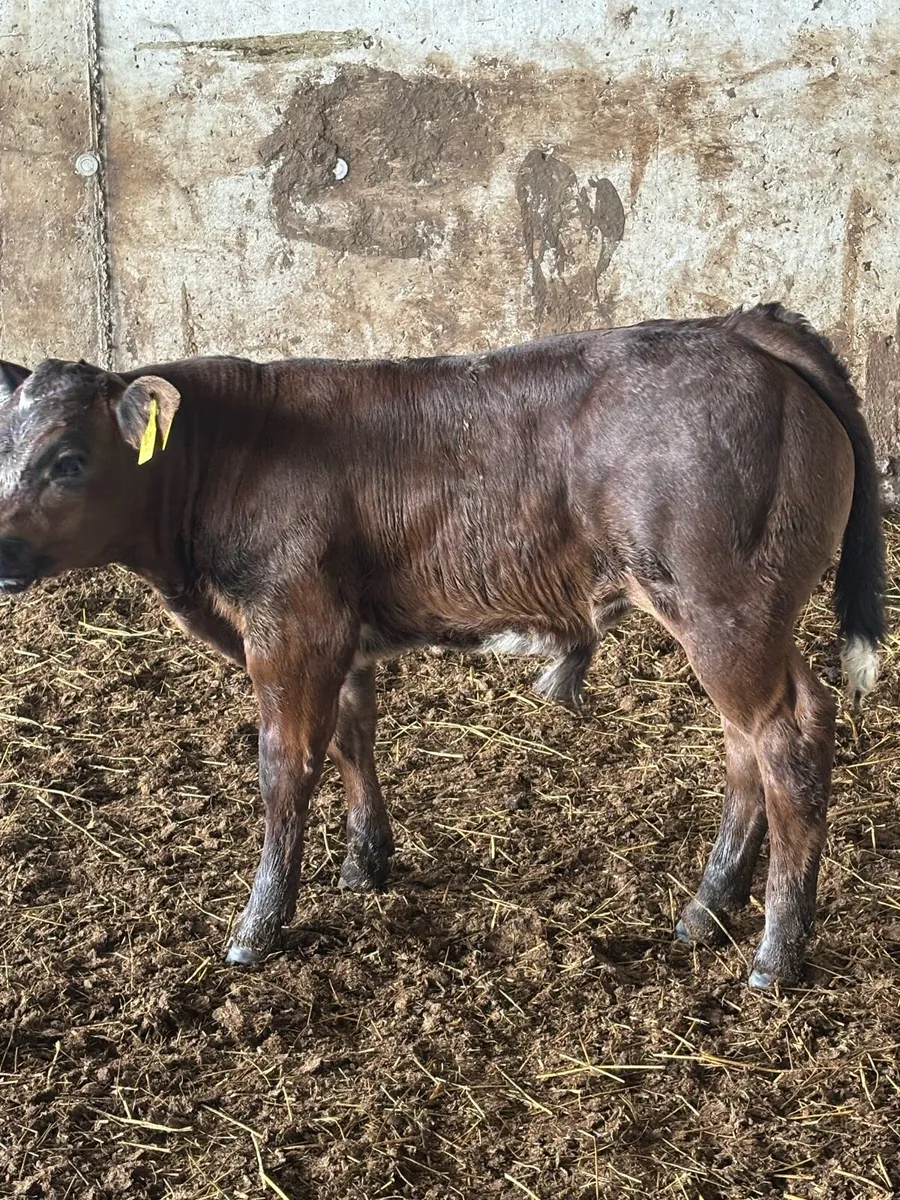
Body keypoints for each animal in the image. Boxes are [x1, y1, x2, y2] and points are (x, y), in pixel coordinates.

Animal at [0, 304, 885, 989]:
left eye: (68, 460)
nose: (0, 548)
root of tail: (737, 328)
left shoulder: (294, 628)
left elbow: (285, 770)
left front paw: (258, 926)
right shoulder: (344, 637)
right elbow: (353, 741)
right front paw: (365, 864)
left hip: (723, 609)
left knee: (786, 736)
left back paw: (776, 951)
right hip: (737, 621)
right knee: (746, 744)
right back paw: (707, 909)